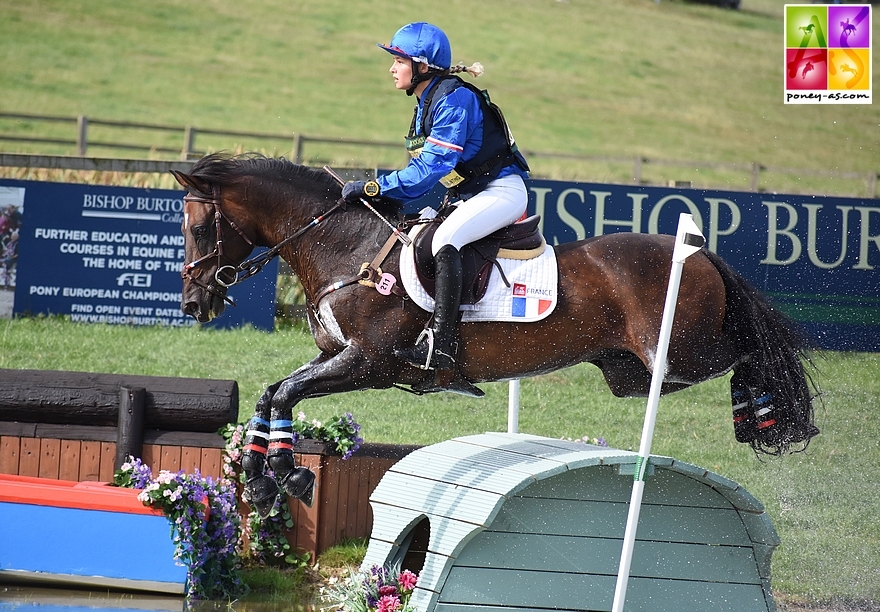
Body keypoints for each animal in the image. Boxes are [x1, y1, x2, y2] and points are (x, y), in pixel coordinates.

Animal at [172, 153, 820, 516]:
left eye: (200, 228)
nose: (194, 302)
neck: (345, 249)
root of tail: (700, 253)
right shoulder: (337, 357)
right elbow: (272, 393)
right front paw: (266, 479)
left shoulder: (368, 363)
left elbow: (284, 392)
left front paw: (286, 475)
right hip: (630, 373)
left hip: (681, 352)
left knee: (753, 348)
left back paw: (765, 416)